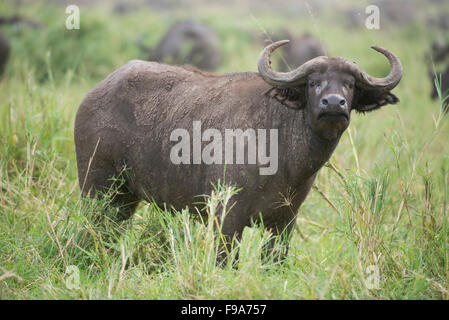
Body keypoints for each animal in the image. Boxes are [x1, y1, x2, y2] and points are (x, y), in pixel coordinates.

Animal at [74, 40, 402, 260]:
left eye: (350, 84)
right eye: (313, 83)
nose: (333, 103)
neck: (281, 155)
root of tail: (91, 97)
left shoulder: (284, 224)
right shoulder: (226, 218)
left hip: (125, 198)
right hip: (97, 190)